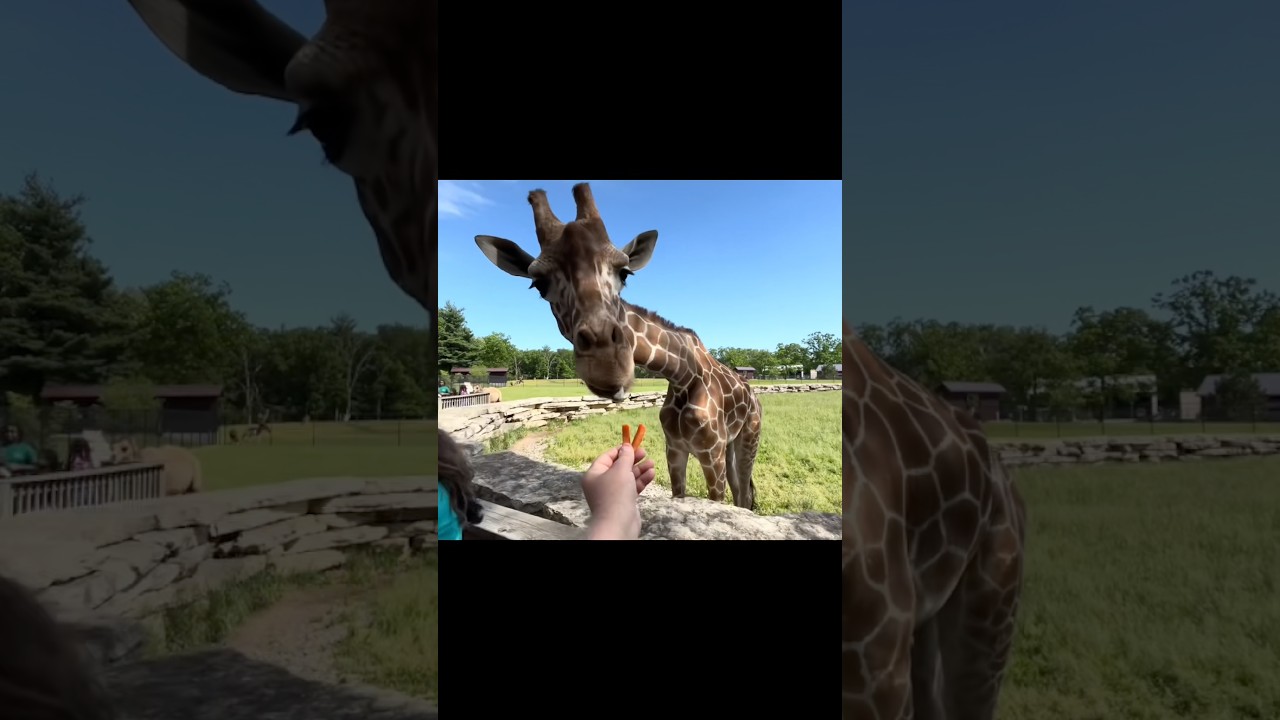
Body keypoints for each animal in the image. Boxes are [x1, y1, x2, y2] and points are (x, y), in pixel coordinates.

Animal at [475, 184, 763, 510]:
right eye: (538, 284)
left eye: (625, 272)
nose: (608, 366)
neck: (682, 375)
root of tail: (754, 396)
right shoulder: (675, 449)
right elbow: (679, 494)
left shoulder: (710, 452)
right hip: (730, 444)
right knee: (742, 491)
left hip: (748, 437)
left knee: (744, 493)